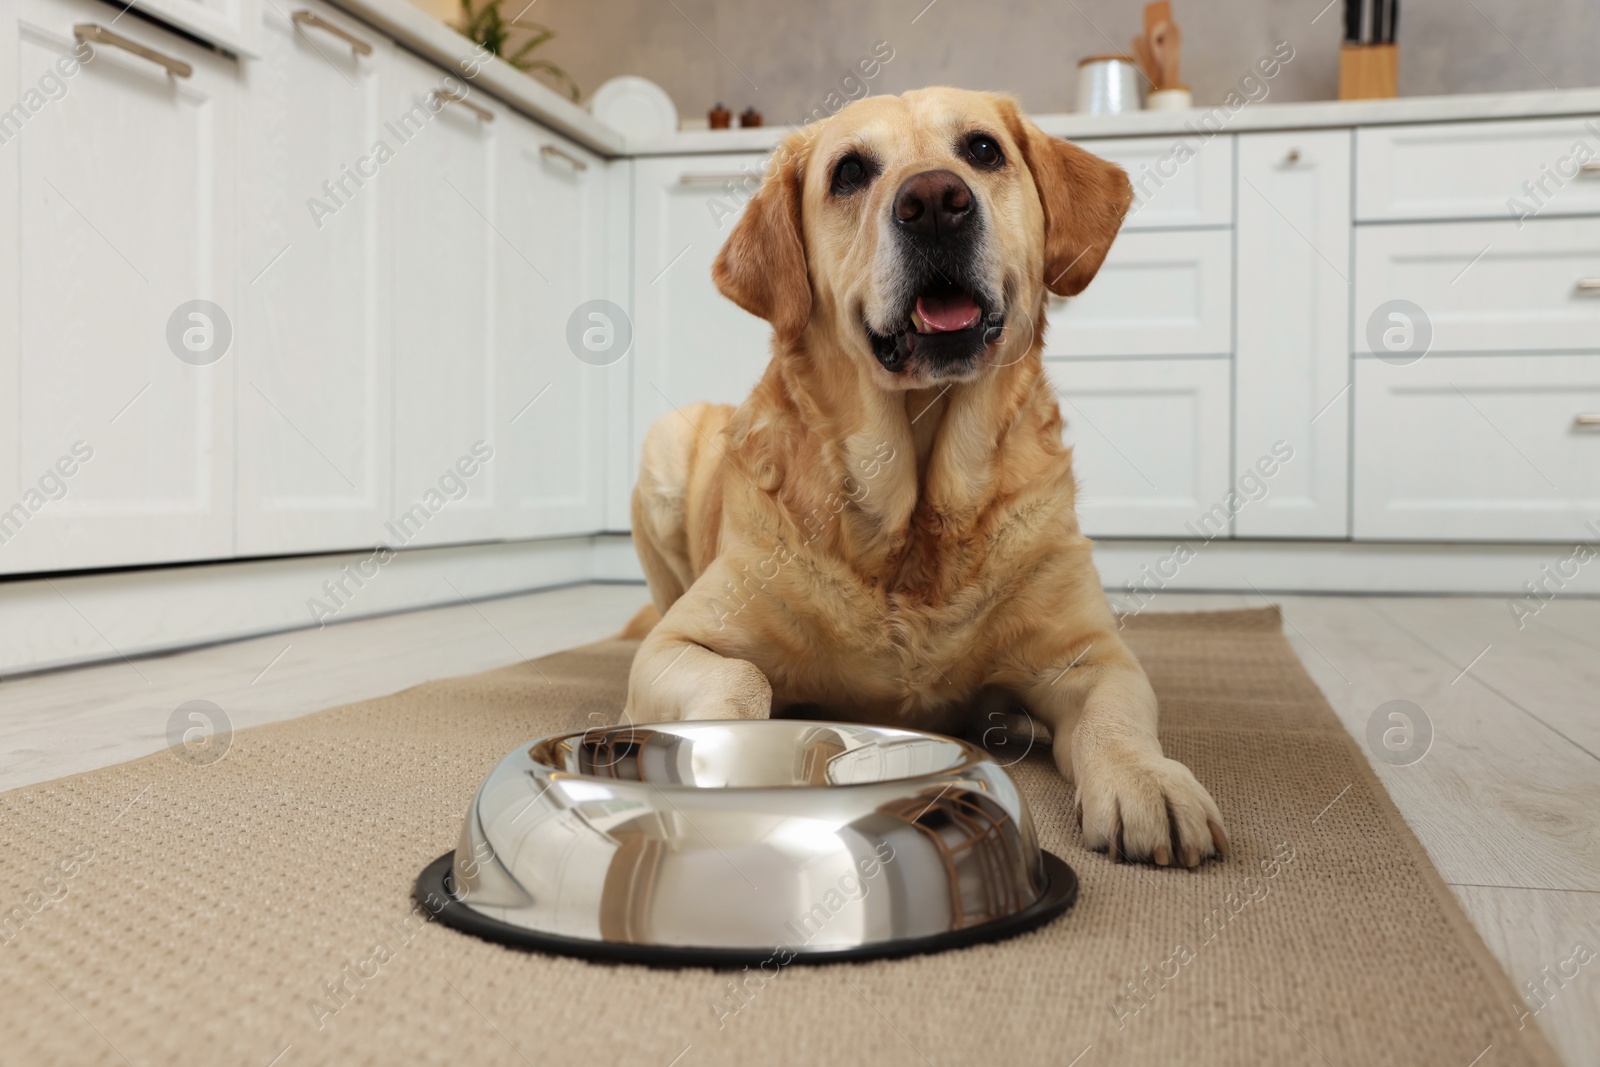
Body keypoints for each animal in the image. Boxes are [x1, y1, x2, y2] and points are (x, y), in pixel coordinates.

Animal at [620, 85, 1222, 870]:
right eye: (849, 172)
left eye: (983, 150)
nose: (935, 200)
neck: (912, 521)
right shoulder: (682, 645)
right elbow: (740, 678)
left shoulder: (1090, 655)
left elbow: (1113, 719)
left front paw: (1146, 781)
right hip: (664, 449)